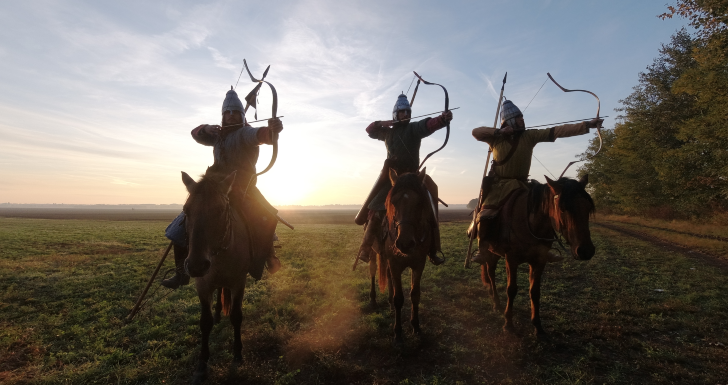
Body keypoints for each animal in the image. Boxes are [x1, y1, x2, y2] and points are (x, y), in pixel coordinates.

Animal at [180, 170, 253, 382]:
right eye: (186, 211)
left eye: (220, 210)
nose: (196, 266)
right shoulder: (202, 286)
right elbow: (205, 322)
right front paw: (202, 363)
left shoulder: (239, 283)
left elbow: (236, 316)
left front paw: (237, 355)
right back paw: (219, 313)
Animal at [366, 168, 436, 342]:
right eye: (393, 202)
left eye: (419, 202)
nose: (405, 243)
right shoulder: (395, 264)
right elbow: (399, 298)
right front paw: (397, 331)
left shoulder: (418, 264)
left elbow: (415, 294)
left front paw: (416, 326)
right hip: (373, 253)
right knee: (372, 271)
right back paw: (373, 299)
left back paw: (389, 302)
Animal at [478, 176, 596, 334]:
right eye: (562, 208)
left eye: (588, 208)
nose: (586, 251)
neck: (530, 222)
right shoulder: (511, 260)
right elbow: (511, 289)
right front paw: (508, 323)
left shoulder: (539, 261)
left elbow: (535, 291)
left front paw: (537, 325)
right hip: (490, 251)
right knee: (491, 273)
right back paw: (496, 302)